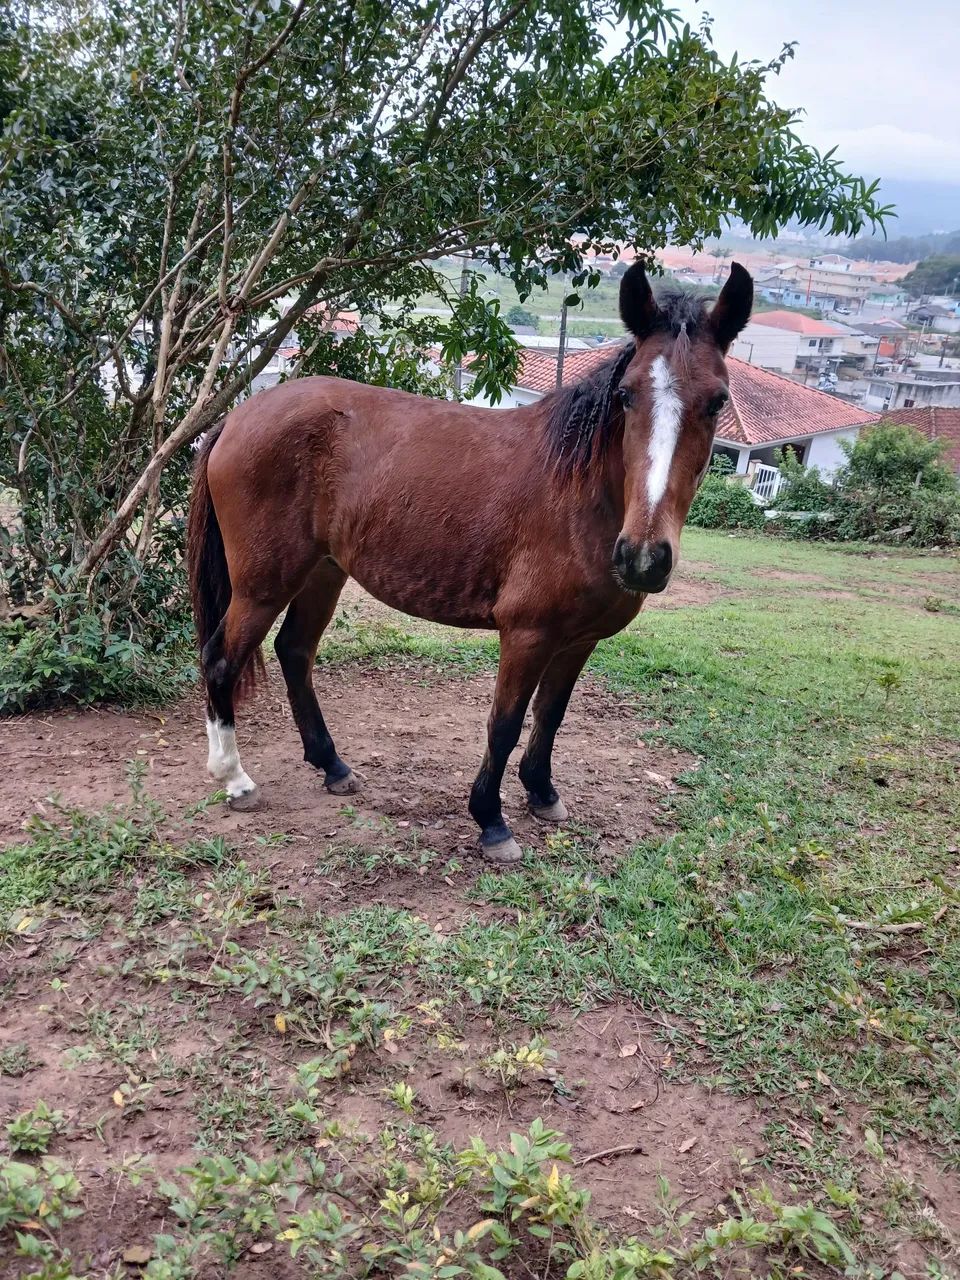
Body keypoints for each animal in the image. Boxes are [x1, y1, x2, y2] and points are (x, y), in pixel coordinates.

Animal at [187, 261, 752, 863]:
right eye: (626, 395)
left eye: (717, 401)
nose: (643, 557)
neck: (582, 493)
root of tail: (236, 417)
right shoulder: (527, 633)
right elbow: (504, 724)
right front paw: (491, 821)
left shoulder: (579, 639)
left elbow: (550, 715)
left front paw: (542, 792)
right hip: (263, 583)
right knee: (220, 659)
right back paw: (234, 778)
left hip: (323, 571)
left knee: (294, 652)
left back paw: (332, 766)